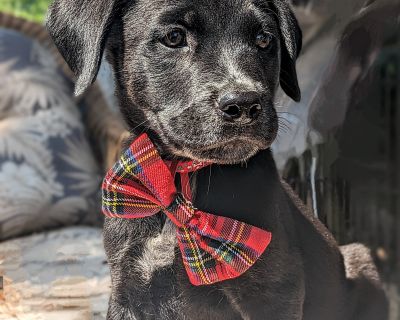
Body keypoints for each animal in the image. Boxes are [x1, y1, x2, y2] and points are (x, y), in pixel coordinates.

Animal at [46, 1, 388, 318]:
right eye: (174, 37)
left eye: (264, 39)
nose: (245, 105)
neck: (182, 178)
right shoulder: (128, 288)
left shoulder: (273, 293)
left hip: (360, 261)